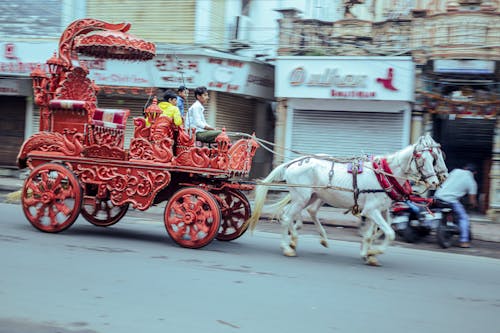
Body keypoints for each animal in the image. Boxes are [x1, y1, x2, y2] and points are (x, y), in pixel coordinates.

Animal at [245, 134, 442, 264]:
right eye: (422, 158)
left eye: (433, 158)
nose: (435, 182)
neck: (384, 175)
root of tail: (293, 163)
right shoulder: (371, 210)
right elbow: (390, 233)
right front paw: (375, 251)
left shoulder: (380, 210)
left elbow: (374, 233)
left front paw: (368, 253)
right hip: (302, 197)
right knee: (287, 217)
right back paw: (287, 248)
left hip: (310, 196)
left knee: (298, 213)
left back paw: (298, 240)